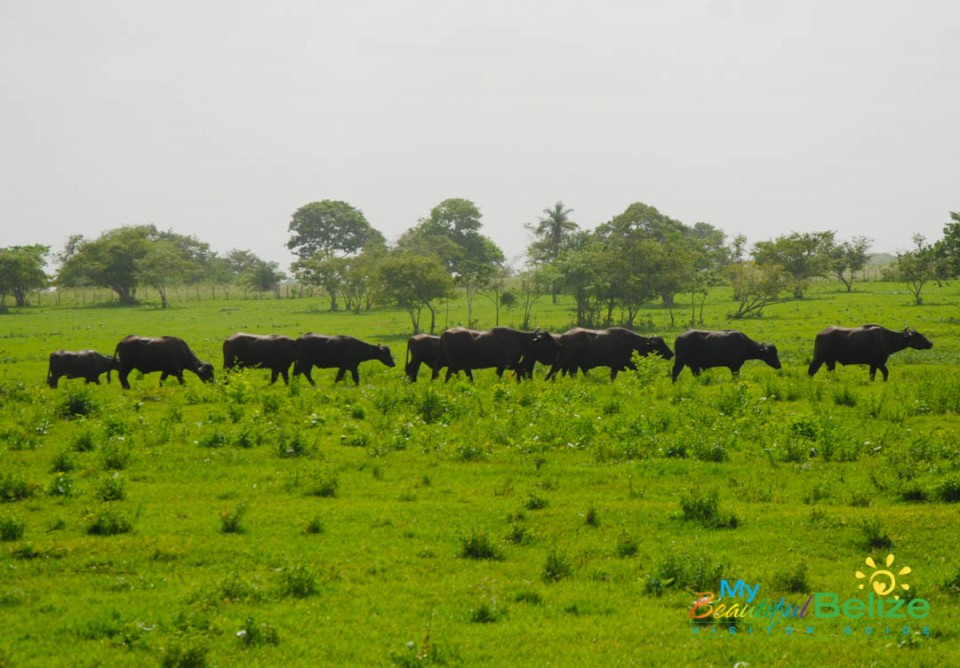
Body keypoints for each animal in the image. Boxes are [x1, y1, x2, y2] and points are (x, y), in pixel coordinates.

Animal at [540, 328, 676, 380]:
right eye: (659, 344)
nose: (671, 353)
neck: (633, 343)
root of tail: (563, 336)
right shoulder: (620, 366)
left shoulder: (616, 367)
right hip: (571, 362)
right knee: (568, 373)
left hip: (564, 361)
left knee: (554, 369)